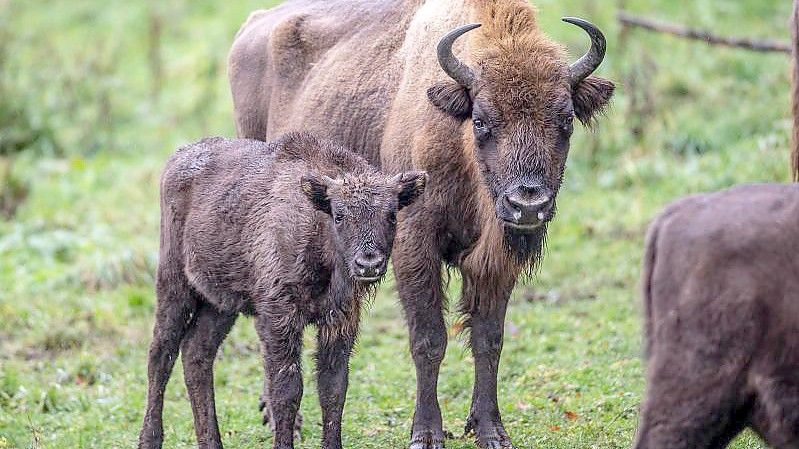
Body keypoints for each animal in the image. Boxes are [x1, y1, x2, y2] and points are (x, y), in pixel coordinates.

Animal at [139, 133, 424, 448]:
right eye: (339, 215)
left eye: (392, 214)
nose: (368, 263)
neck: (315, 223)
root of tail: (179, 157)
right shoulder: (279, 320)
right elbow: (287, 390)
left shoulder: (339, 321)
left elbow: (333, 388)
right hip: (174, 286)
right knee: (160, 355)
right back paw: (149, 439)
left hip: (220, 305)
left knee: (196, 353)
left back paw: (211, 441)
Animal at [228, 1, 616, 446]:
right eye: (481, 120)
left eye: (566, 120)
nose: (528, 204)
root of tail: (254, 25)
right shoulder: (414, 246)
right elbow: (429, 339)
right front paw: (426, 432)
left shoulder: (495, 260)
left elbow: (488, 339)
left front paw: (489, 429)